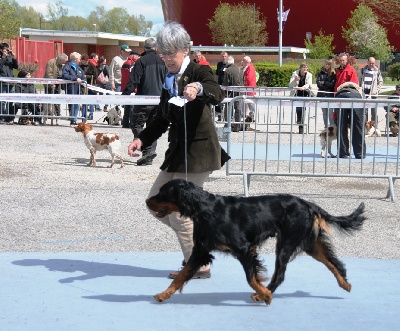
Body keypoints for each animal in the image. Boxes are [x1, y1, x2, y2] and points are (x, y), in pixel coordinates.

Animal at [146, 180, 366, 308]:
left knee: (280, 275)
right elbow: (181, 275)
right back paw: (344, 283)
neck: (205, 209)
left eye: (163, 192)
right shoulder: (201, 250)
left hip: (285, 244)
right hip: (309, 244)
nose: (147, 201)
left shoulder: (244, 249)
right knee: (332, 262)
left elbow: (251, 278)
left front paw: (265, 295)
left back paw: (265, 294)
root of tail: (308, 204)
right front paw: (163, 295)